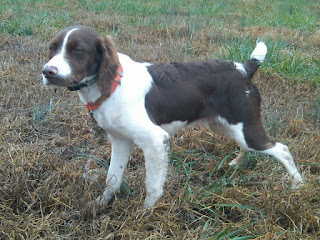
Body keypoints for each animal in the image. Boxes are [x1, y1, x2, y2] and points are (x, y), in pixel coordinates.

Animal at [42, 25, 302, 207]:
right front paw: (100, 204)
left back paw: (297, 186)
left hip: (247, 128)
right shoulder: (120, 140)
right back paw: (238, 163)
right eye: (52, 48)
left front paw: (145, 214)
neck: (112, 85)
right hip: (226, 126)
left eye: (78, 50)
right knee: (248, 147)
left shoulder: (155, 141)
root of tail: (244, 69)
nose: (47, 72)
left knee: (282, 149)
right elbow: (112, 179)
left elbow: (152, 186)